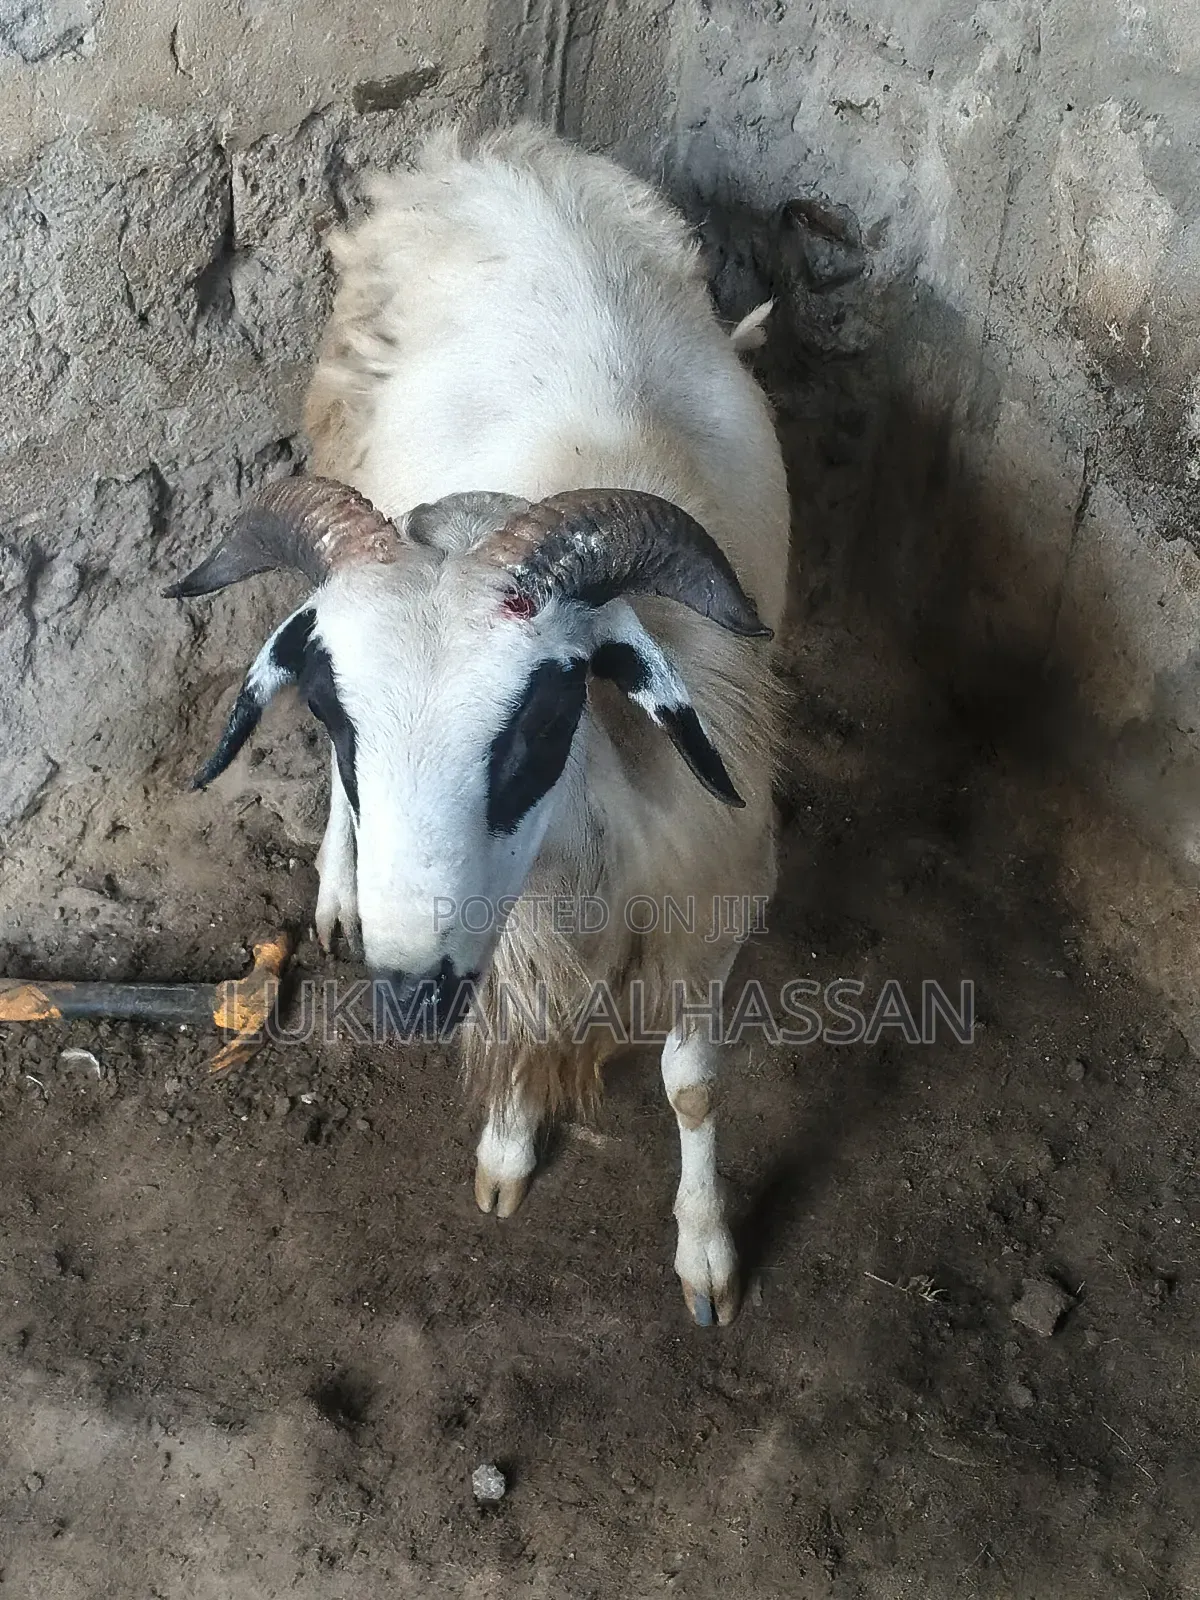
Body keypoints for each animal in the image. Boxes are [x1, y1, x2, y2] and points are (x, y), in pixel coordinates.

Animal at [166, 125, 791, 1326]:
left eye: (544, 708)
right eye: (335, 709)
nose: (409, 994)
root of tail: (493, 148)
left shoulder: (709, 894)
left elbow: (692, 1088)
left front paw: (705, 1254)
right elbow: (515, 1024)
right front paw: (506, 1153)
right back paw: (338, 891)